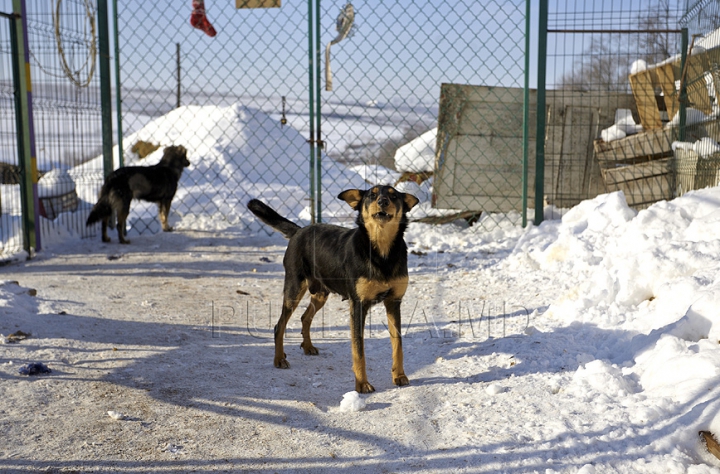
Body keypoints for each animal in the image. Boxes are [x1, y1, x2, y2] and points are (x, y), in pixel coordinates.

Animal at [248, 185, 420, 392]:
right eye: (372, 194)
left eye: (394, 196)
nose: (383, 201)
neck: (382, 251)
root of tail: (299, 231)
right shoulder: (358, 305)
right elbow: (358, 349)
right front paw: (362, 384)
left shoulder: (394, 302)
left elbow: (398, 344)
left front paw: (399, 376)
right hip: (294, 289)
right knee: (279, 325)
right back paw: (279, 358)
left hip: (321, 293)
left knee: (305, 317)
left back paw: (308, 347)